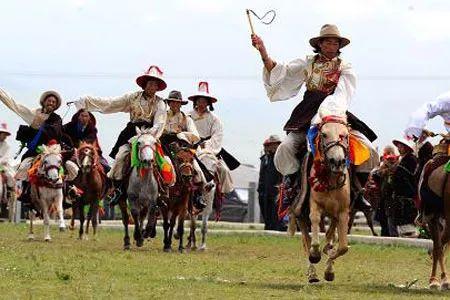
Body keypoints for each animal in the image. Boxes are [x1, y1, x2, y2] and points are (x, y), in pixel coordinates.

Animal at [292, 115, 352, 284]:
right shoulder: (314, 206)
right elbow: (314, 237)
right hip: (301, 213)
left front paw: (329, 267)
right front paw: (316, 254)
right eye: (324, 134)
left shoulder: (342, 213)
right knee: (306, 240)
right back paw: (312, 273)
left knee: (331, 235)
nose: (337, 161)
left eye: (345, 135)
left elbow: (342, 246)